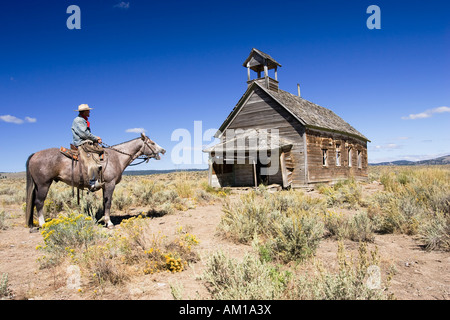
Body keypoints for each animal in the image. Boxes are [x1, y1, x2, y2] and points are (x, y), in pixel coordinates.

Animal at [25, 132, 165, 230]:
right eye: (152, 143)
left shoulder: (104, 186)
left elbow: (104, 203)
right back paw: (43, 224)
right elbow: (108, 204)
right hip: (44, 184)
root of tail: (34, 154)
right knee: (39, 202)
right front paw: (109, 223)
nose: (163, 150)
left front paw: (105, 221)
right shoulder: (110, 184)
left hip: (38, 185)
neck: (117, 157)